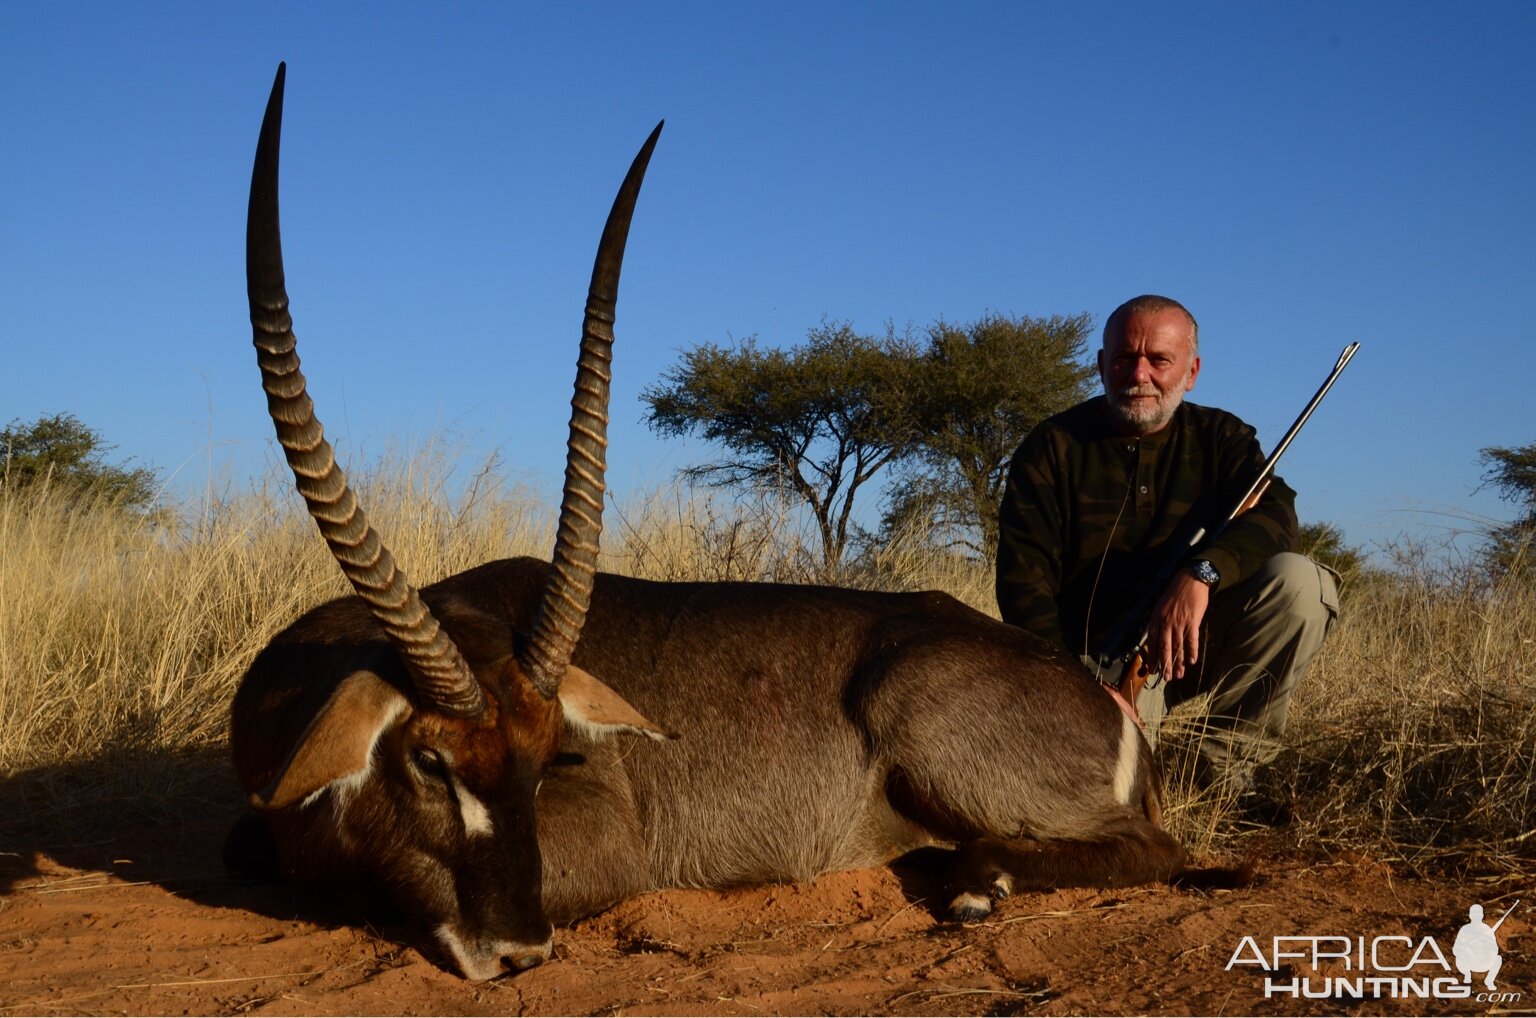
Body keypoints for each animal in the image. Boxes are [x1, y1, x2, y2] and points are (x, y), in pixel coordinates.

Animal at [230, 61, 1198, 982]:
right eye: (429, 759)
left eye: (547, 760)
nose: (519, 951)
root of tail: (1105, 701)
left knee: (1155, 847)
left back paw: (977, 883)